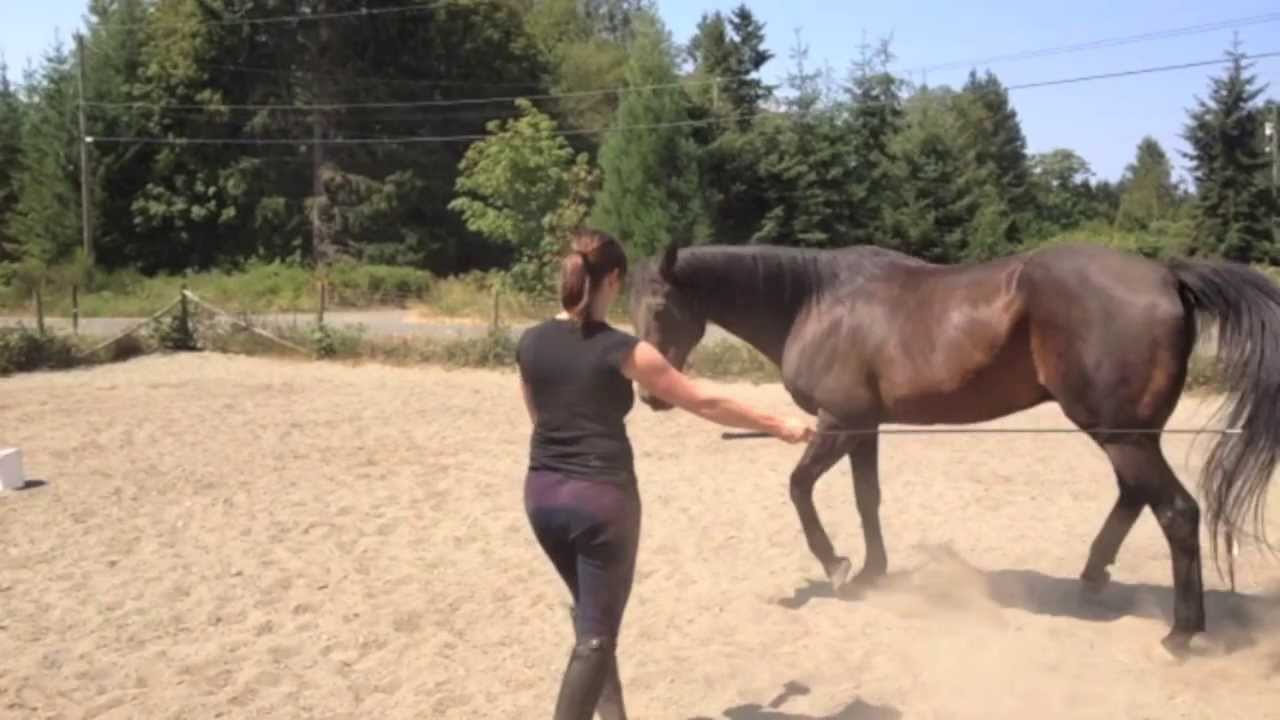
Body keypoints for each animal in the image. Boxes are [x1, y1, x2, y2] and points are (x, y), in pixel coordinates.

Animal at [626, 240, 1280, 655]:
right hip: (1127, 434)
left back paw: (1181, 632)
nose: (651, 393)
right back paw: (1093, 577)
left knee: (1176, 511)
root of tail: (1166, 276)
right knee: (1135, 497)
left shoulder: (839, 423)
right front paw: (874, 571)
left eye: (659, 306)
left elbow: (799, 488)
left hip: (1121, 435)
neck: (816, 302)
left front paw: (837, 566)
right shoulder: (864, 428)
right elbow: (867, 499)